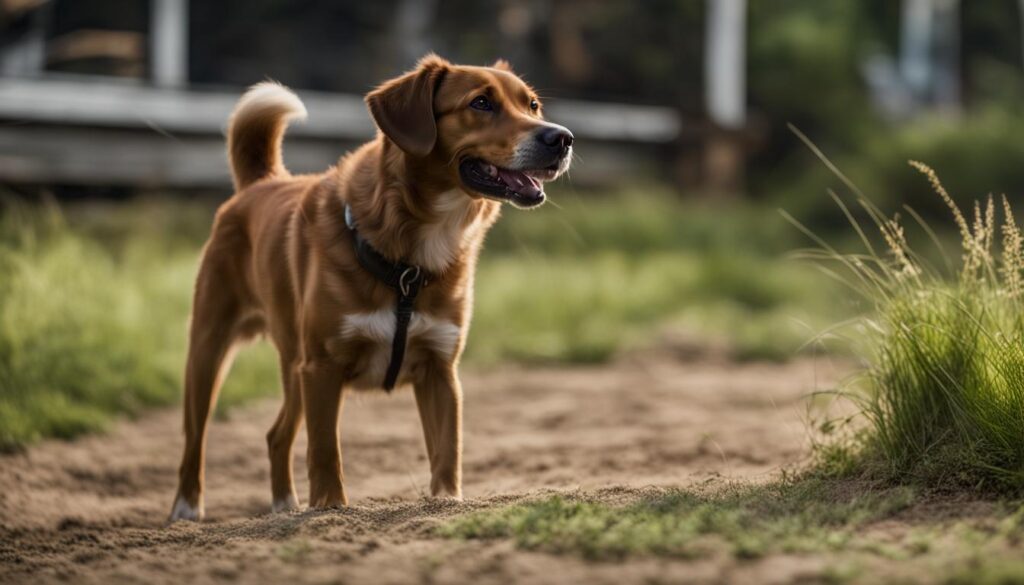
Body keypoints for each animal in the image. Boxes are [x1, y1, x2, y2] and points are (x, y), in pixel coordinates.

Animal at [163, 56, 573, 522]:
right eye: (481, 103)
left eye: (533, 105)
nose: (562, 138)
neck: (415, 258)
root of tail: (260, 184)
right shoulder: (323, 368)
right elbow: (326, 452)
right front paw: (329, 509)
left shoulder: (440, 372)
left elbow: (446, 451)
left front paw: (445, 502)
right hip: (211, 351)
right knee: (195, 439)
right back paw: (187, 509)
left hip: (295, 369)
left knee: (276, 435)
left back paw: (285, 507)